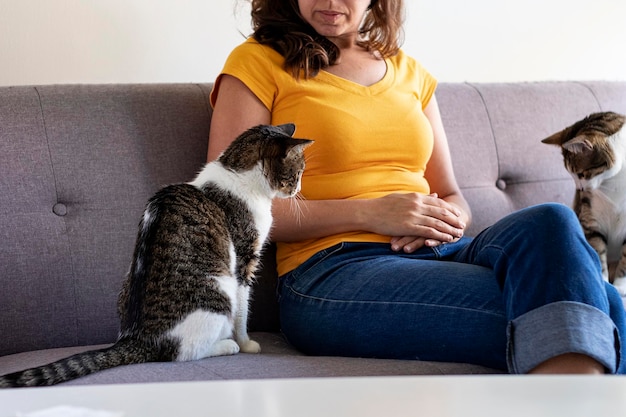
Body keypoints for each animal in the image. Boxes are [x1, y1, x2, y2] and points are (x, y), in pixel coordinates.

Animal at [0, 122, 312, 386]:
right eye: (297, 173)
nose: (298, 189)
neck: (236, 173)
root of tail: (138, 339)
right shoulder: (244, 260)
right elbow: (243, 311)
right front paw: (247, 343)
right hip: (219, 293)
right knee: (184, 352)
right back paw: (227, 345)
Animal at [540, 109, 624, 294]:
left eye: (581, 174)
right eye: (571, 175)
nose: (580, 189)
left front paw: (621, 287)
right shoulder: (590, 217)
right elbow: (598, 251)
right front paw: (604, 283)